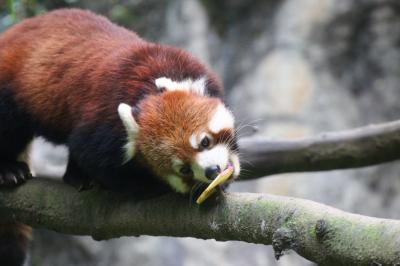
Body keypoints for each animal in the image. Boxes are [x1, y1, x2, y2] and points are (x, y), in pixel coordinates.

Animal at [0, 8, 241, 266]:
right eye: (183, 169)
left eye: (205, 141)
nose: (212, 171)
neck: (143, 89)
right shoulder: (103, 128)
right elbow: (97, 160)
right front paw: (157, 186)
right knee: (9, 126)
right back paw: (10, 170)